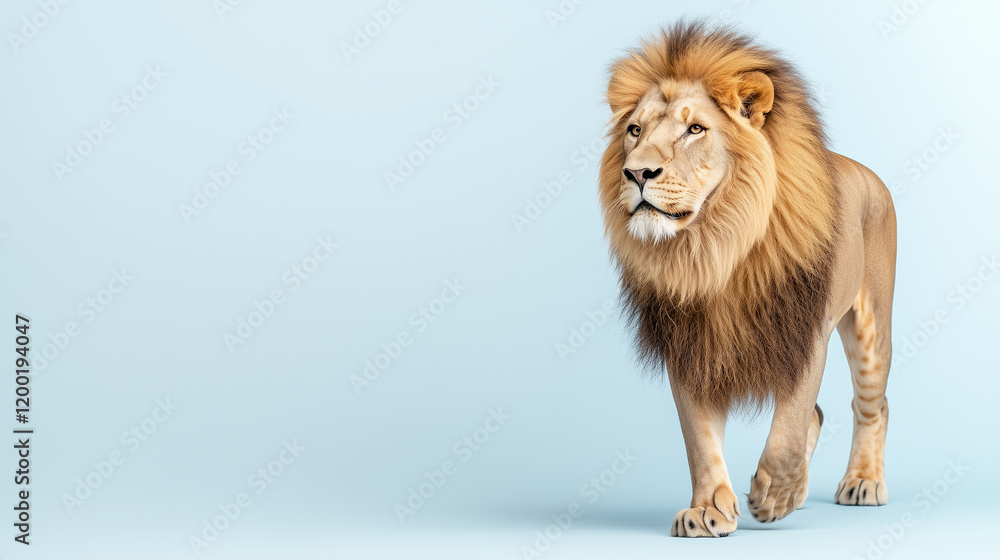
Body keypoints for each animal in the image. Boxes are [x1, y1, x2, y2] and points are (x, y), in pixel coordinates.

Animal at [598, 22, 896, 537]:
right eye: (635, 130)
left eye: (695, 129)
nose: (636, 173)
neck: (715, 245)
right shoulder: (689, 343)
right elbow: (699, 439)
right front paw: (707, 510)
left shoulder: (805, 332)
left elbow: (789, 425)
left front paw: (774, 497)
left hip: (872, 326)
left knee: (872, 405)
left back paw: (862, 482)